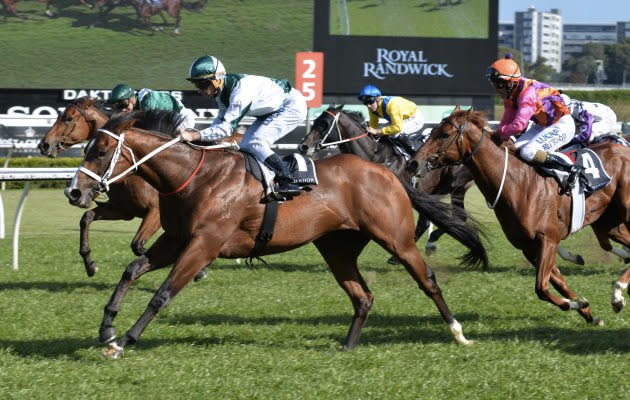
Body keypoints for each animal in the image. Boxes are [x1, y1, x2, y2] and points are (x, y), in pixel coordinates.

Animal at [300, 104, 474, 264]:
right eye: (316, 121)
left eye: (325, 124)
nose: (303, 146)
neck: (376, 156)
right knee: (454, 217)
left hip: (451, 186)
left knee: (444, 218)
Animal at [414, 107, 630, 324]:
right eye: (432, 132)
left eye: (444, 134)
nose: (414, 162)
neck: (517, 183)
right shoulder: (528, 246)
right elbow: (558, 283)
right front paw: (586, 310)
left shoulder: (548, 239)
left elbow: (541, 288)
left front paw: (575, 304)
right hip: (609, 223)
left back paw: (618, 293)